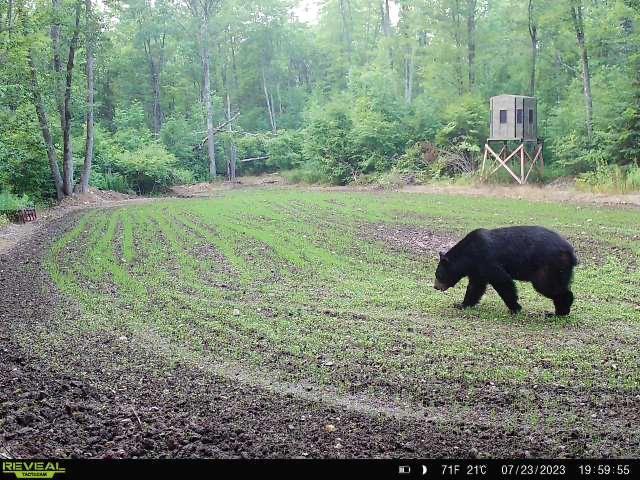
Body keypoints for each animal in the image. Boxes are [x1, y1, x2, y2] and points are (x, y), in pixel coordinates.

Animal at [432, 227, 576, 316]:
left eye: (438, 275)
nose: (435, 287)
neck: (468, 255)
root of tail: (571, 253)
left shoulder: (487, 259)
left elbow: (502, 280)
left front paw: (515, 308)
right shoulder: (477, 268)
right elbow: (475, 287)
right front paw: (461, 304)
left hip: (548, 267)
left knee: (549, 287)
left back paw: (559, 312)